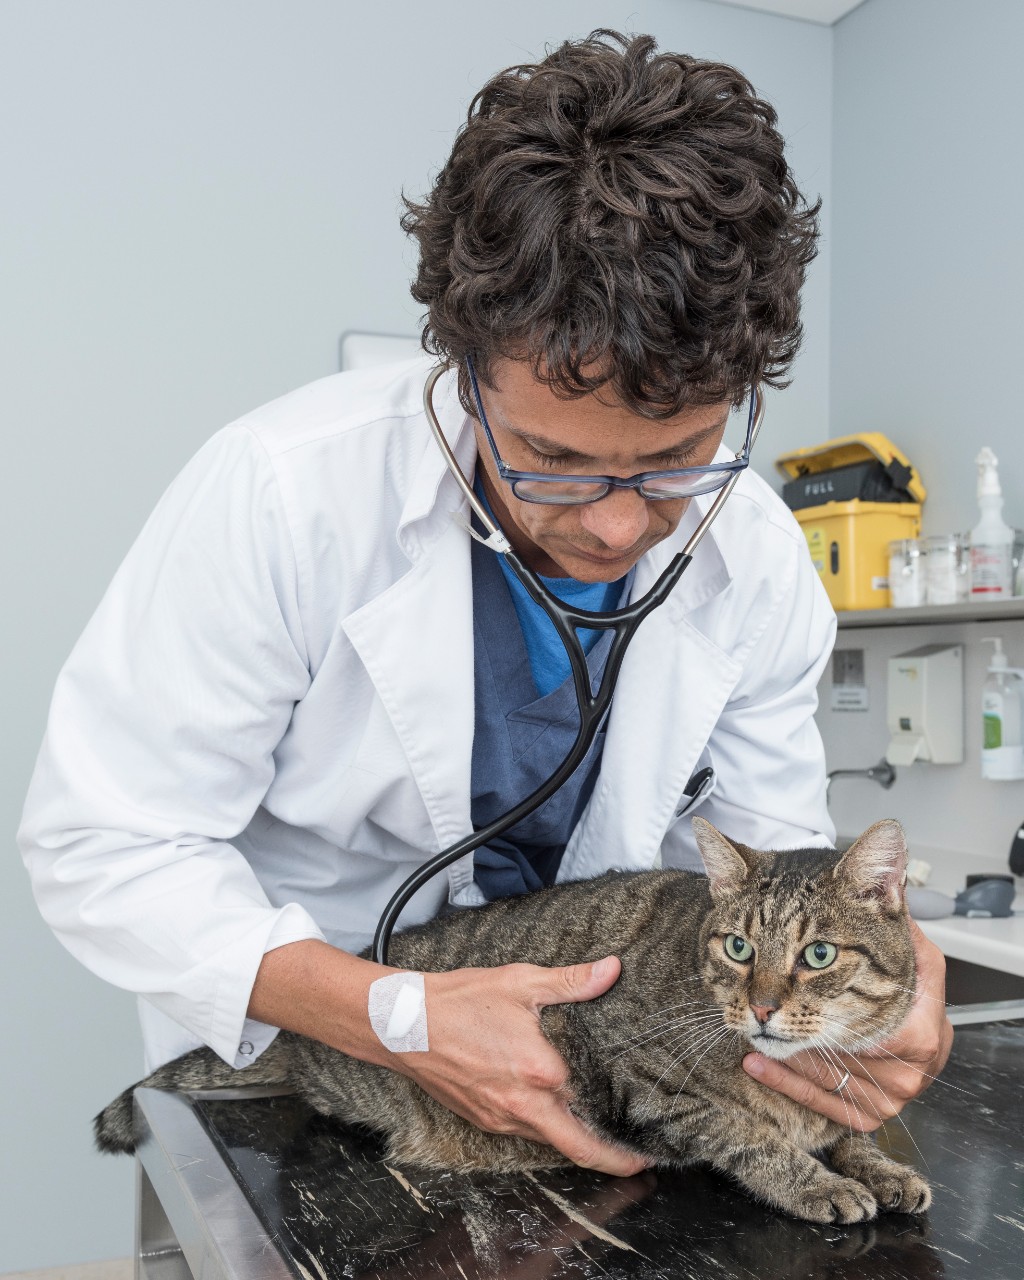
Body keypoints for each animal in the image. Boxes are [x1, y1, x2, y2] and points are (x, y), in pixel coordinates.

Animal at [94, 814, 926, 1223]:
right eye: (738, 946)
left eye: (818, 954)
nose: (760, 1006)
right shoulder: (643, 1083)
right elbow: (748, 1138)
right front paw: (815, 1182)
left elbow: (849, 1132)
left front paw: (881, 1168)